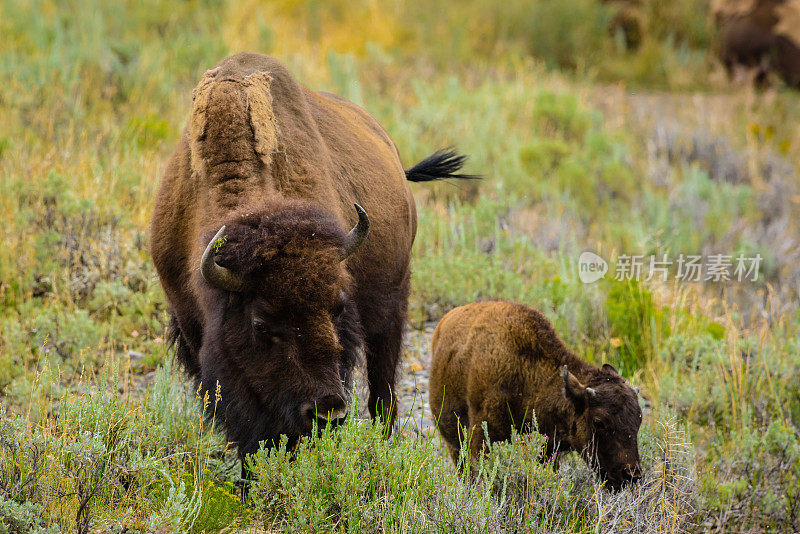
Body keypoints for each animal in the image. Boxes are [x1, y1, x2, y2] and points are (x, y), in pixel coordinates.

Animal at [152, 55, 468, 464]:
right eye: (260, 324)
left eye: (336, 308)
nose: (327, 412)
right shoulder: (192, 327)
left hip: (392, 307)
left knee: (383, 391)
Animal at [432, 302, 644, 490]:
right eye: (598, 421)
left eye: (639, 420)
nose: (631, 475)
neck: (524, 372)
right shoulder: (481, 437)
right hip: (453, 440)